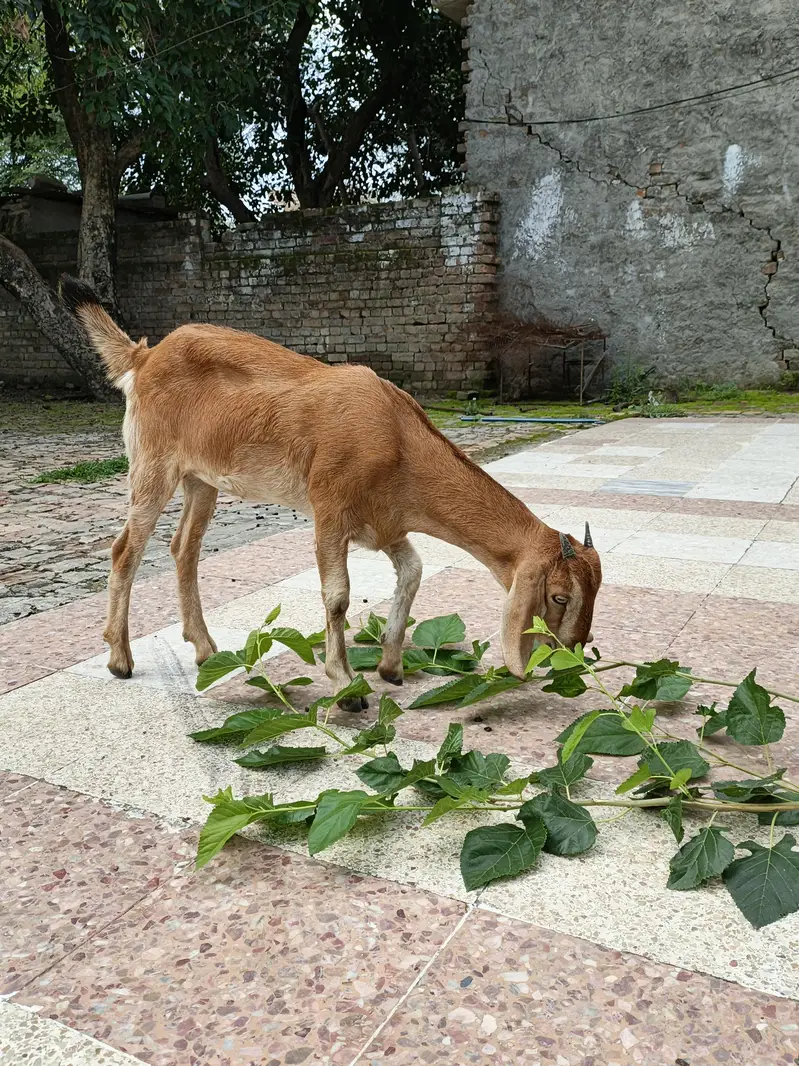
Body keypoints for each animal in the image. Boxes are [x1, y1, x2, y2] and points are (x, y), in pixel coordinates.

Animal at [60, 275, 602, 712]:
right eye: (558, 595)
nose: (575, 650)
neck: (397, 436)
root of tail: (144, 355)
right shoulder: (330, 510)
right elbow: (338, 596)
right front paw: (345, 686)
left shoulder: (385, 525)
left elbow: (413, 572)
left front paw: (389, 668)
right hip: (153, 464)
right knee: (125, 550)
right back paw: (120, 658)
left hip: (202, 480)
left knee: (183, 549)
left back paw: (207, 649)